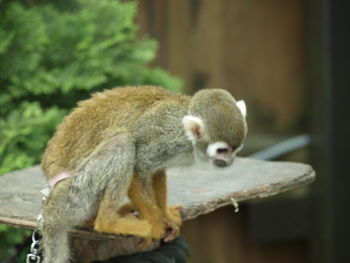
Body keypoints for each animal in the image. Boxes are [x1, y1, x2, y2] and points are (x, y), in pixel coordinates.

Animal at [41, 86, 247, 263]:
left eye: (235, 149)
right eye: (222, 150)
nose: (229, 162)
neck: (189, 139)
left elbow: (156, 171)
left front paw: (165, 214)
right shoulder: (166, 137)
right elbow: (138, 168)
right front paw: (156, 224)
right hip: (77, 191)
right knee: (124, 142)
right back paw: (108, 222)